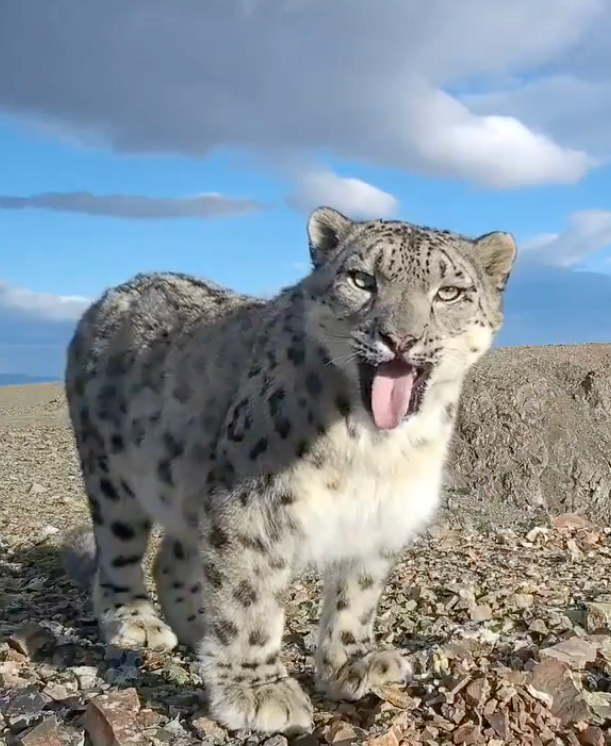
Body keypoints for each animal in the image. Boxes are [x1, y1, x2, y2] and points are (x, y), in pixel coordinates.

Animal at [63, 206, 517, 735]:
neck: (377, 452)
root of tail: (115, 290)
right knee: (119, 553)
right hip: (111, 477)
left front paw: (353, 664)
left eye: (449, 292)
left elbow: (357, 596)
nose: (399, 339)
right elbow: (249, 598)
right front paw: (258, 692)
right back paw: (136, 622)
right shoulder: (250, 509)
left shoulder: (381, 516)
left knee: (173, 559)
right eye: (362, 280)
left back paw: (199, 626)